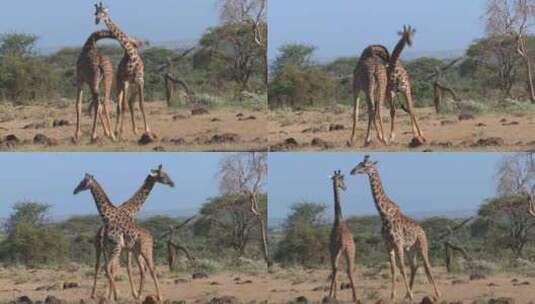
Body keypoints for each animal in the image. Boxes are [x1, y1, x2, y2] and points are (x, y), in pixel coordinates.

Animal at [91, 165, 175, 298]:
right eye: (163, 175)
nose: (172, 183)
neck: (131, 210)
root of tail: (100, 233)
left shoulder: (127, 247)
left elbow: (128, 267)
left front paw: (133, 293)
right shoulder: (128, 246)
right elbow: (128, 267)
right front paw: (133, 293)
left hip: (99, 248)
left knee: (98, 266)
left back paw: (95, 295)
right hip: (111, 248)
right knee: (111, 267)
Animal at [93, 2, 153, 139]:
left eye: (104, 13)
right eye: (95, 13)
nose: (97, 20)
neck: (131, 55)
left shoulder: (140, 81)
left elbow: (141, 104)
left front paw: (147, 129)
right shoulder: (125, 82)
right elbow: (123, 106)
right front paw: (120, 132)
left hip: (132, 85)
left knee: (130, 102)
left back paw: (134, 130)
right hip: (120, 85)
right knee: (120, 105)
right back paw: (116, 131)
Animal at [352, 156, 440, 300]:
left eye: (365, 165)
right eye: (359, 163)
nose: (352, 171)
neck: (384, 214)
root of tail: (422, 230)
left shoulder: (398, 243)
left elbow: (402, 268)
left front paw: (410, 296)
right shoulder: (388, 244)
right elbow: (393, 269)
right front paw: (393, 296)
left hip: (422, 245)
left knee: (428, 266)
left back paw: (437, 294)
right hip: (410, 248)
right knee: (414, 266)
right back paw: (406, 294)